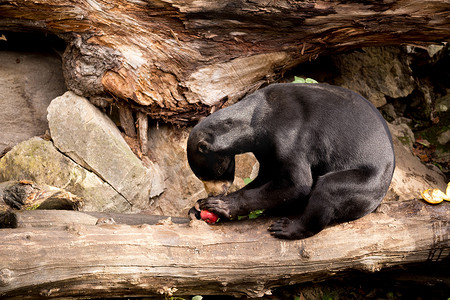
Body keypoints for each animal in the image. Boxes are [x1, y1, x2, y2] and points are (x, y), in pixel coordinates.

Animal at [186, 82, 394, 239]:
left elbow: (296, 184)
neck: (256, 120)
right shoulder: (265, 149)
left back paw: (286, 228)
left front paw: (220, 205)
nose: (214, 193)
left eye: (211, 174)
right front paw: (198, 208)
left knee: (329, 188)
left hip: (369, 180)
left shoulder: (290, 135)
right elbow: (266, 176)